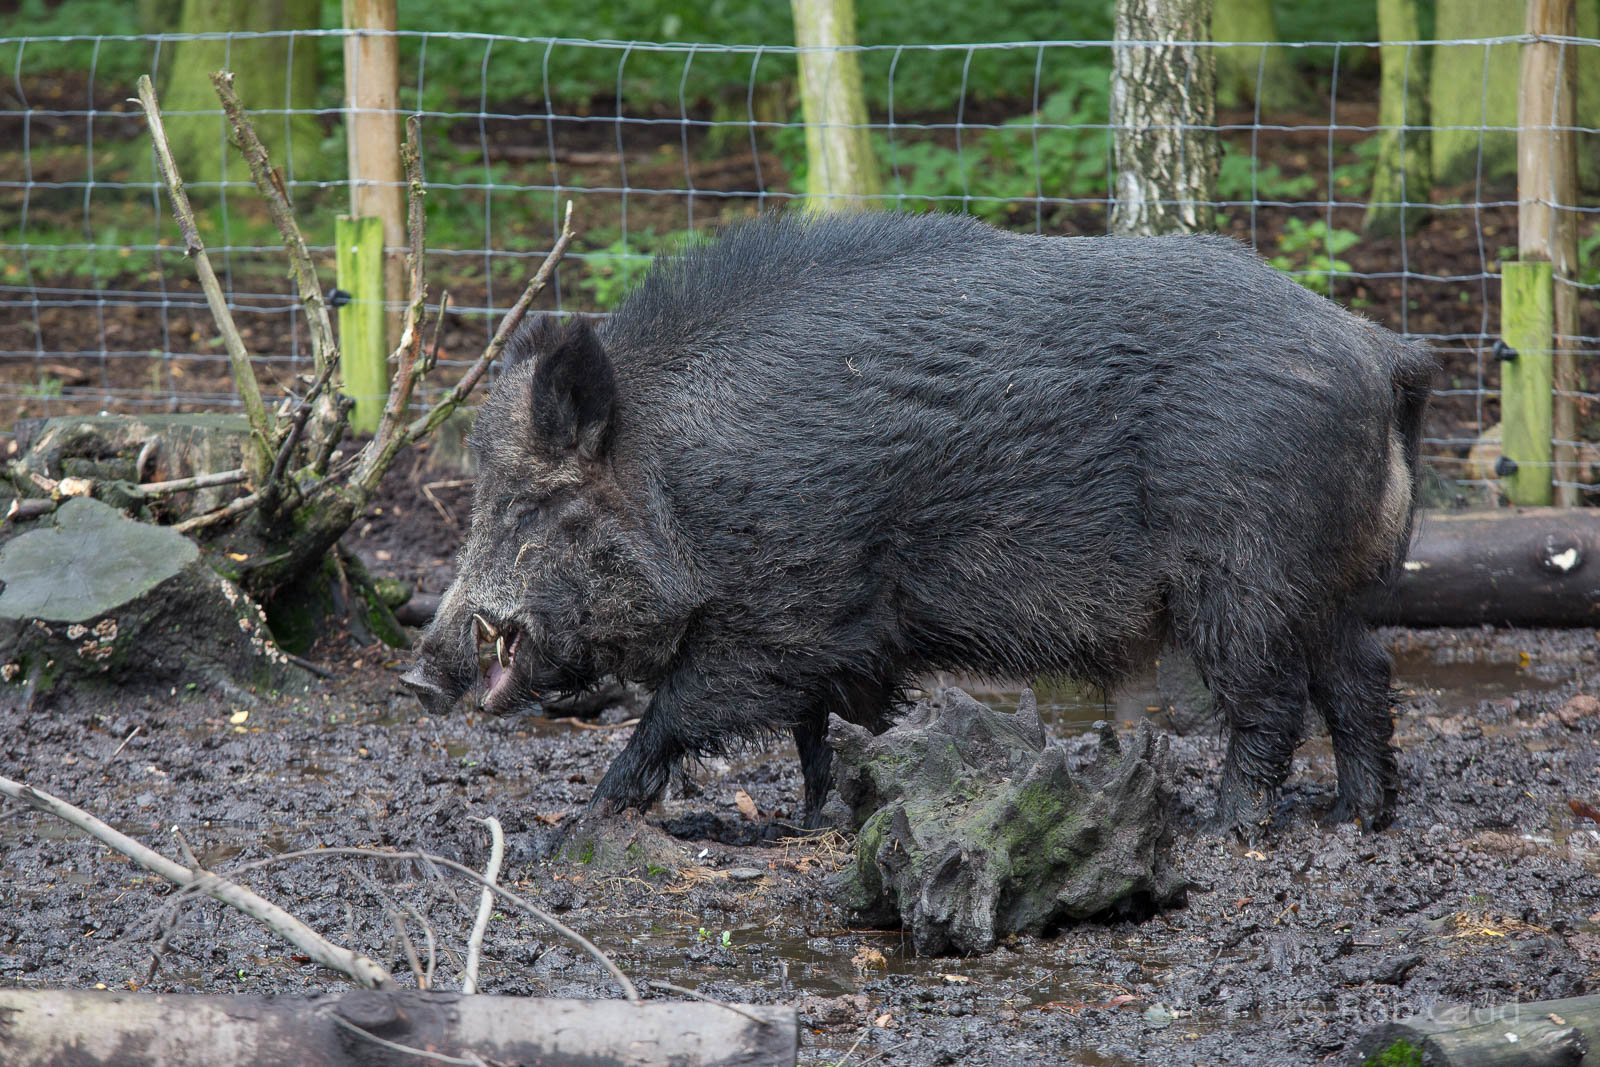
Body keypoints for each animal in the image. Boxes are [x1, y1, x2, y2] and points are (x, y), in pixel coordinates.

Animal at [402, 210, 1435, 834]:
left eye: (538, 503)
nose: (416, 675)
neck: (680, 484)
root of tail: (1380, 349)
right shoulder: (839, 633)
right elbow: (819, 727)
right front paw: (823, 818)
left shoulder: (779, 611)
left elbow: (678, 715)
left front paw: (579, 826)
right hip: (1329, 580)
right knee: (1363, 675)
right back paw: (1359, 816)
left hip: (1243, 574)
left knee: (1272, 696)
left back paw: (1228, 826)